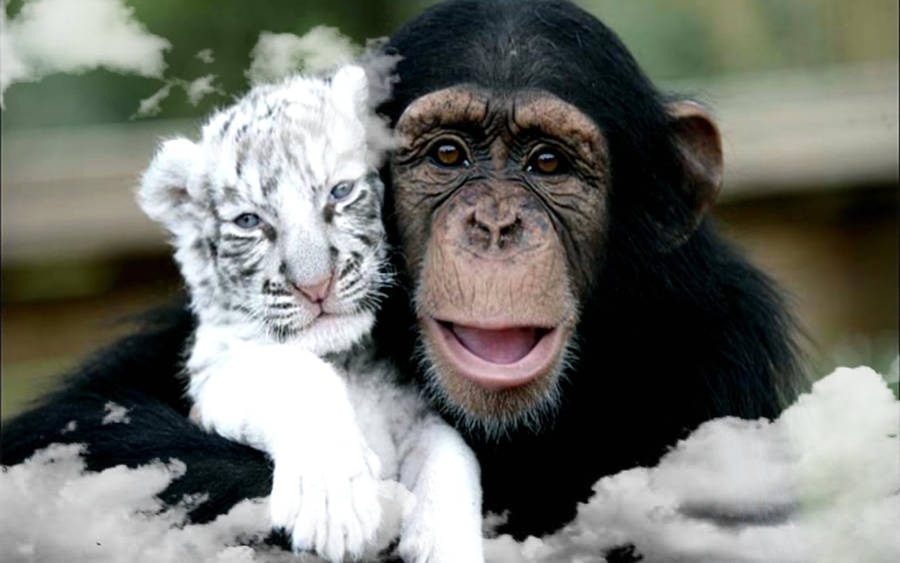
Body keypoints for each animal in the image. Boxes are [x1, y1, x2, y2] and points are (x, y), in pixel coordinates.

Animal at [138, 65, 484, 563]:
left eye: (340, 192)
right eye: (249, 221)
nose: (316, 284)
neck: (346, 359)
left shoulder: (417, 415)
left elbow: (454, 456)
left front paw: (446, 543)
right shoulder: (212, 376)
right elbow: (297, 372)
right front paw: (335, 505)